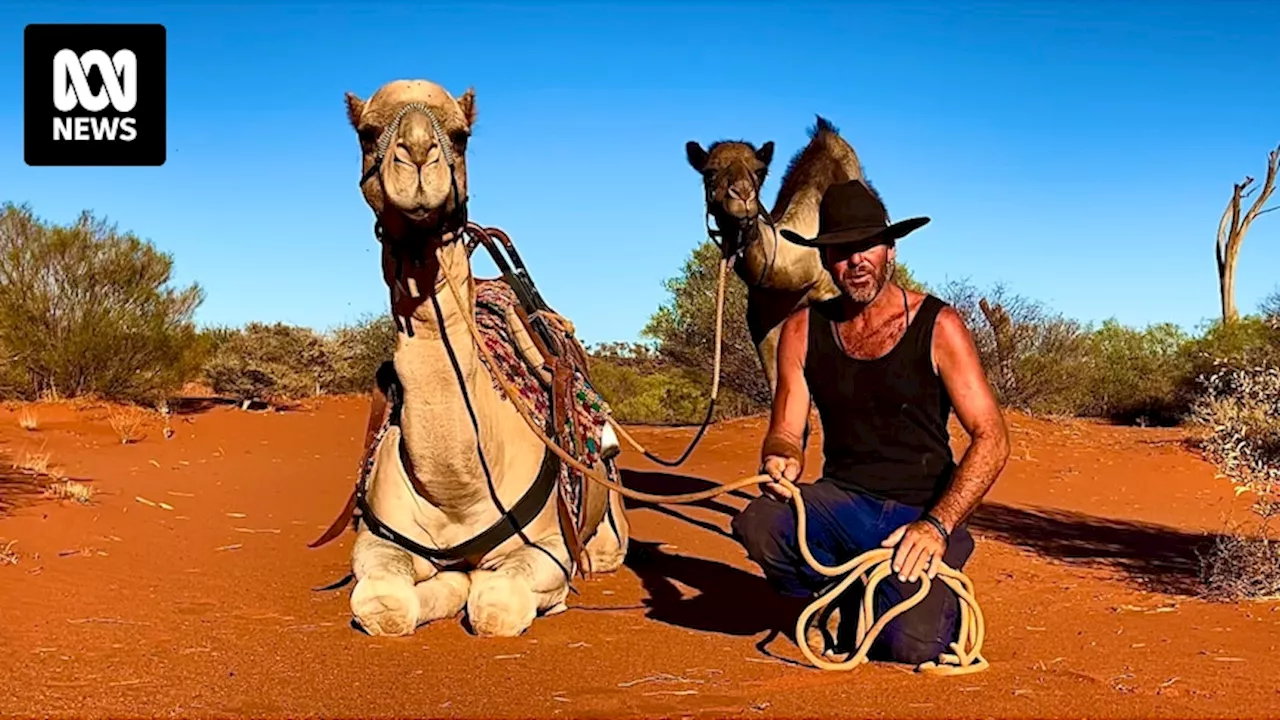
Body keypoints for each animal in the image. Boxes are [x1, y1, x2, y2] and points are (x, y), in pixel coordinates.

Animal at [335, 81, 624, 635]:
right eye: (366, 132)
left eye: (460, 135)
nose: (418, 154)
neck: (459, 491)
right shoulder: (378, 542)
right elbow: (384, 603)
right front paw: (441, 587)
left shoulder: (551, 549)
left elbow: (496, 604)